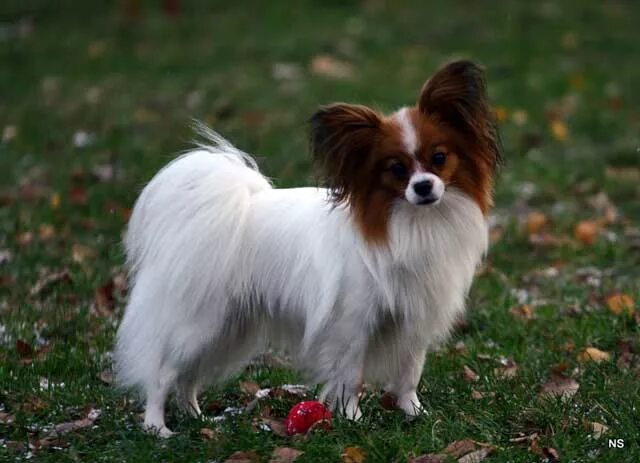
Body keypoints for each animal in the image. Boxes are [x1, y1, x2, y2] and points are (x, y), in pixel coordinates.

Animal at [117, 59, 502, 436]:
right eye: (396, 169)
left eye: (439, 158)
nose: (423, 186)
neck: (413, 223)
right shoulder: (351, 324)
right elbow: (351, 378)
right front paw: (353, 420)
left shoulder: (414, 321)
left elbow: (409, 375)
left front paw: (415, 414)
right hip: (200, 324)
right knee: (163, 373)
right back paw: (157, 428)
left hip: (226, 329)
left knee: (188, 377)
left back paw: (198, 419)